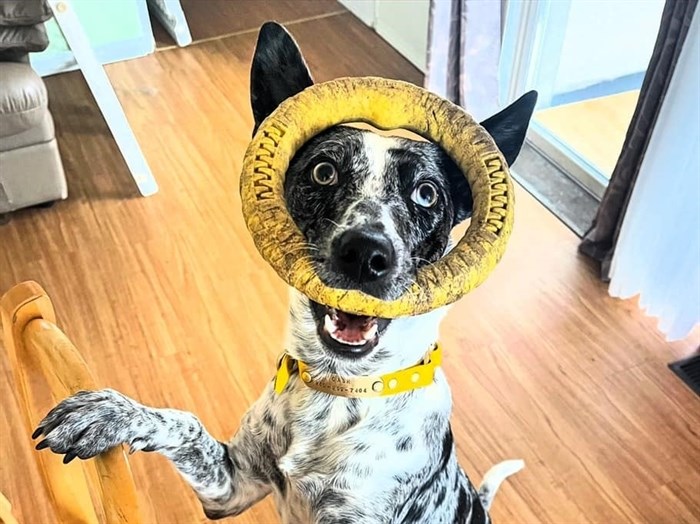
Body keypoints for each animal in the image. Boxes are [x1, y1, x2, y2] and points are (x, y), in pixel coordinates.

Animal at [31, 21, 536, 524]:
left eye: (427, 193)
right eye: (324, 171)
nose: (366, 253)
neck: (338, 389)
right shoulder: (229, 487)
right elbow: (185, 423)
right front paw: (107, 413)